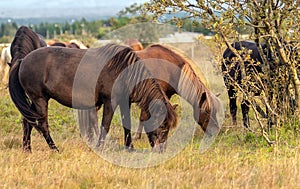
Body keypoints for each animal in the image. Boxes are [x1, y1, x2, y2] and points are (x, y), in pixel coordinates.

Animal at [8, 26, 178, 152]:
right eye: (162, 125)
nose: (161, 151)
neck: (125, 71)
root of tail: (23, 60)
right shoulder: (110, 102)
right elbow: (105, 125)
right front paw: (100, 147)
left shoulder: (125, 102)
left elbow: (126, 123)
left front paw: (130, 148)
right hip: (40, 99)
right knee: (42, 124)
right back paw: (54, 149)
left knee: (27, 121)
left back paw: (27, 149)